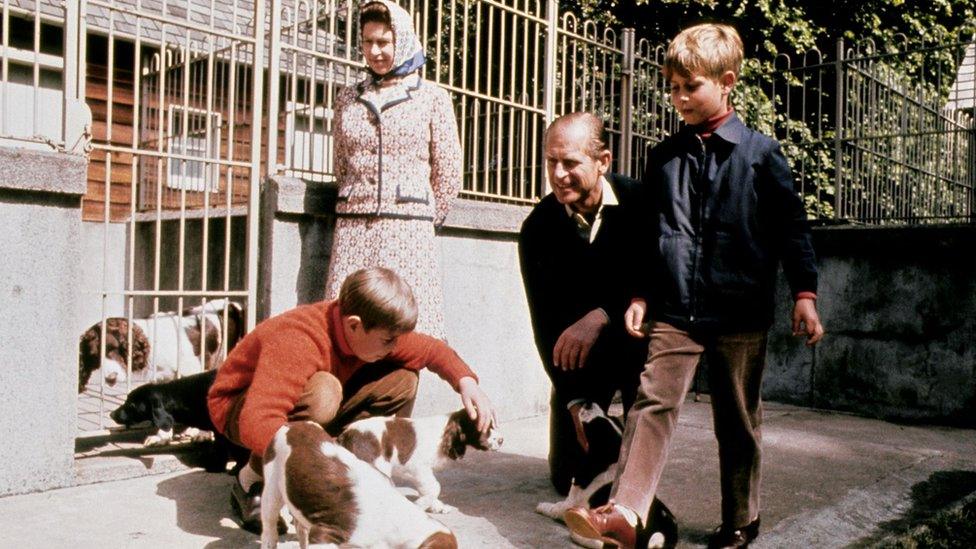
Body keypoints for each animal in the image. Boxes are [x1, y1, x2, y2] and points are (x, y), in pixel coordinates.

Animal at [336, 408, 504, 512]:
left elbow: (428, 488)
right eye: (485, 428)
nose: (502, 440)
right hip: (377, 467)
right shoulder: (417, 467)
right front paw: (421, 505)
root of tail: (345, 435)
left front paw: (436, 506)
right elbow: (435, 487)